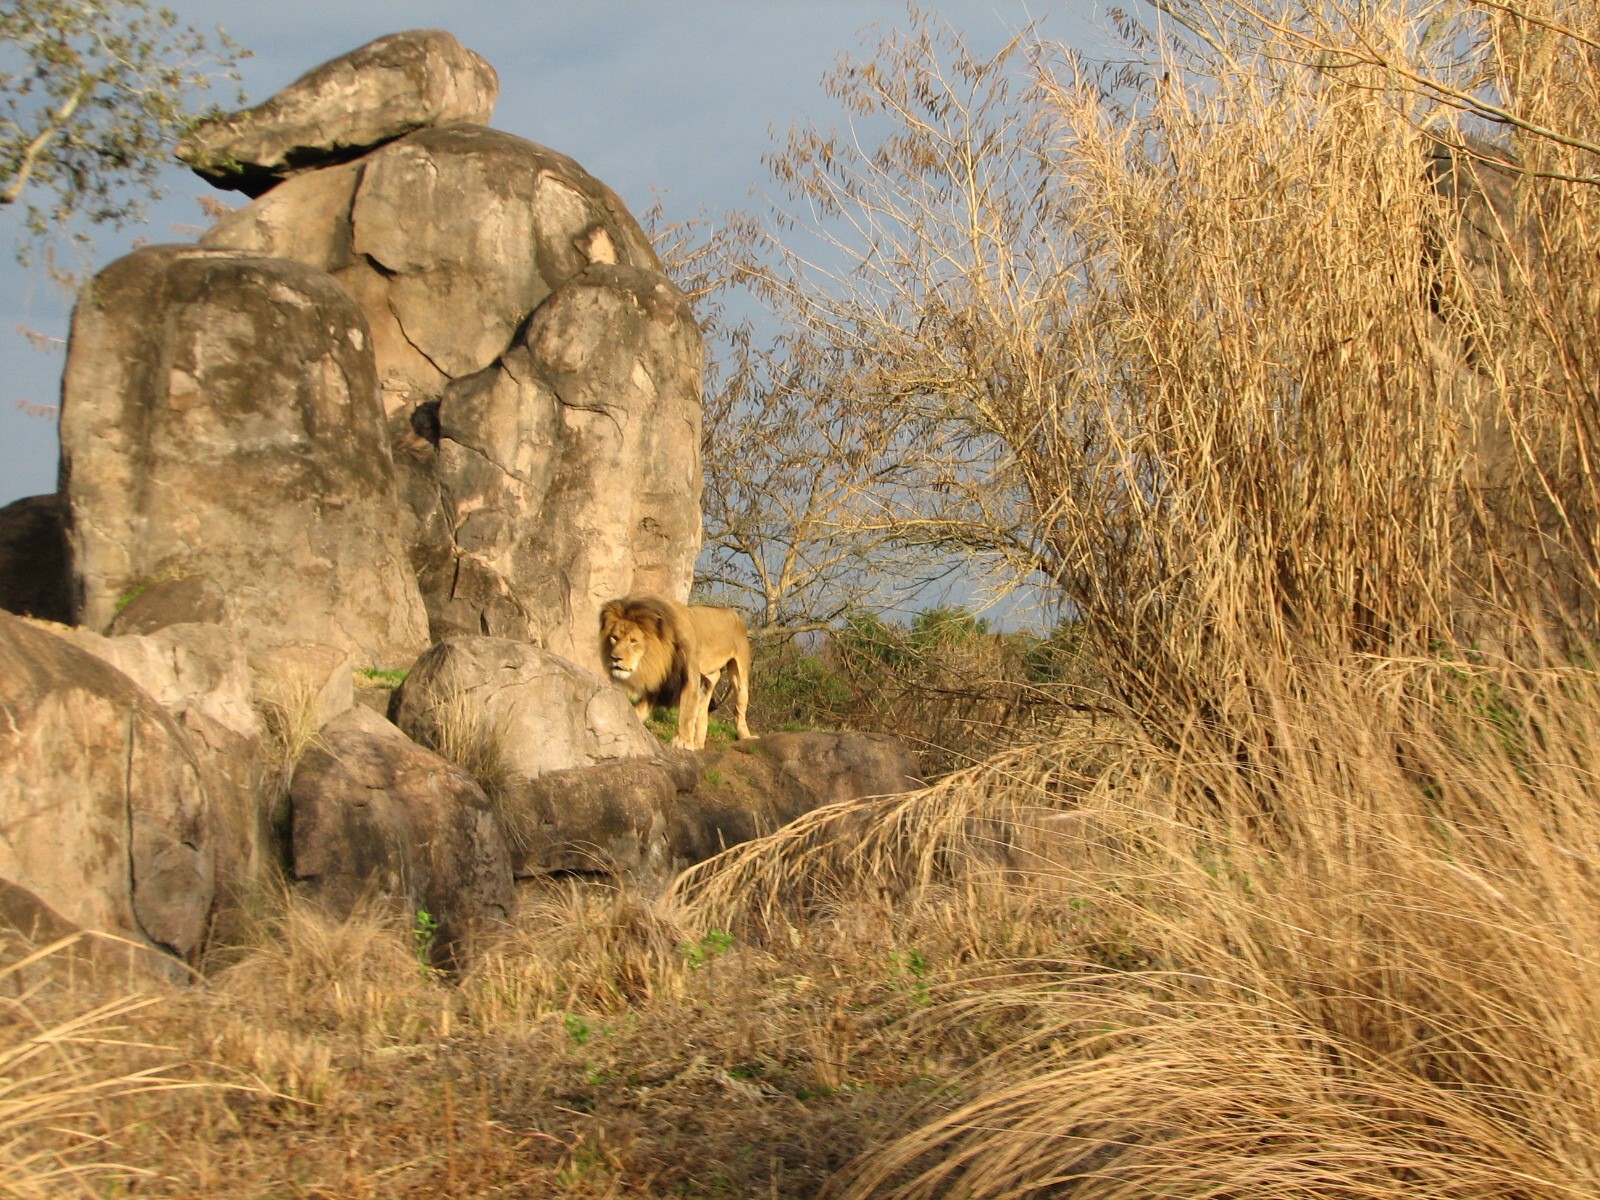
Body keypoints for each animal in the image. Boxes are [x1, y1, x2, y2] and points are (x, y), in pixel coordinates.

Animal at [598, 594, 754, 750]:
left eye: (633, 641)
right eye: (614, 637)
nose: (615, 658)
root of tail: (735, 614)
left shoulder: (690, 674)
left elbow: (687, 710)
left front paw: (684, 742)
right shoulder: (664, 679)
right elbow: (642, 706)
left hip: (740, 671)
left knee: (739, 706)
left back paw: (746, 737)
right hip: (710, 677)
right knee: (704, 706)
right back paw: (698, 744)